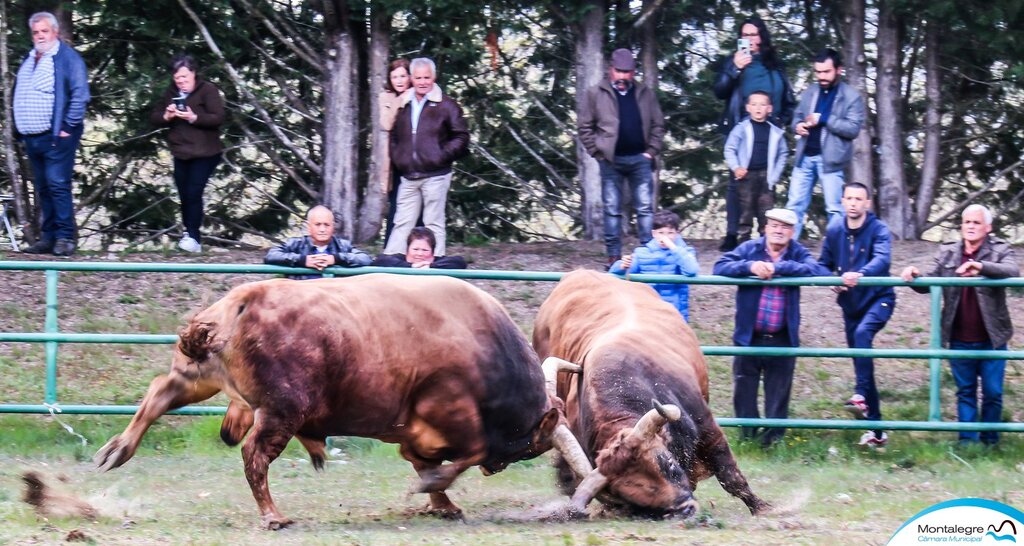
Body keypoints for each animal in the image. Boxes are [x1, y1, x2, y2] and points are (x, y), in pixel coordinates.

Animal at [97, 276, 593, 528]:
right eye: (530, 444)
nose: (499, 467)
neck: (487, 346)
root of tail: (241, 301)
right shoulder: (451, 408)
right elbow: (461, 455)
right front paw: (435, 490)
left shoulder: (415, 429)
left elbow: (426, 460)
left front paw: (442, 502)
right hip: (281, 411)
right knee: (254, 455)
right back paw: (273, 516)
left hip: (198, 378)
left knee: (159, 392)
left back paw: (116, 450)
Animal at [536, 270, 770, 516]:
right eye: (632, 496)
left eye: (668, 463)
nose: (686, 509)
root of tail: (578, 273)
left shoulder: (708, 428)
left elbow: (730, 476)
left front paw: (761, 508)